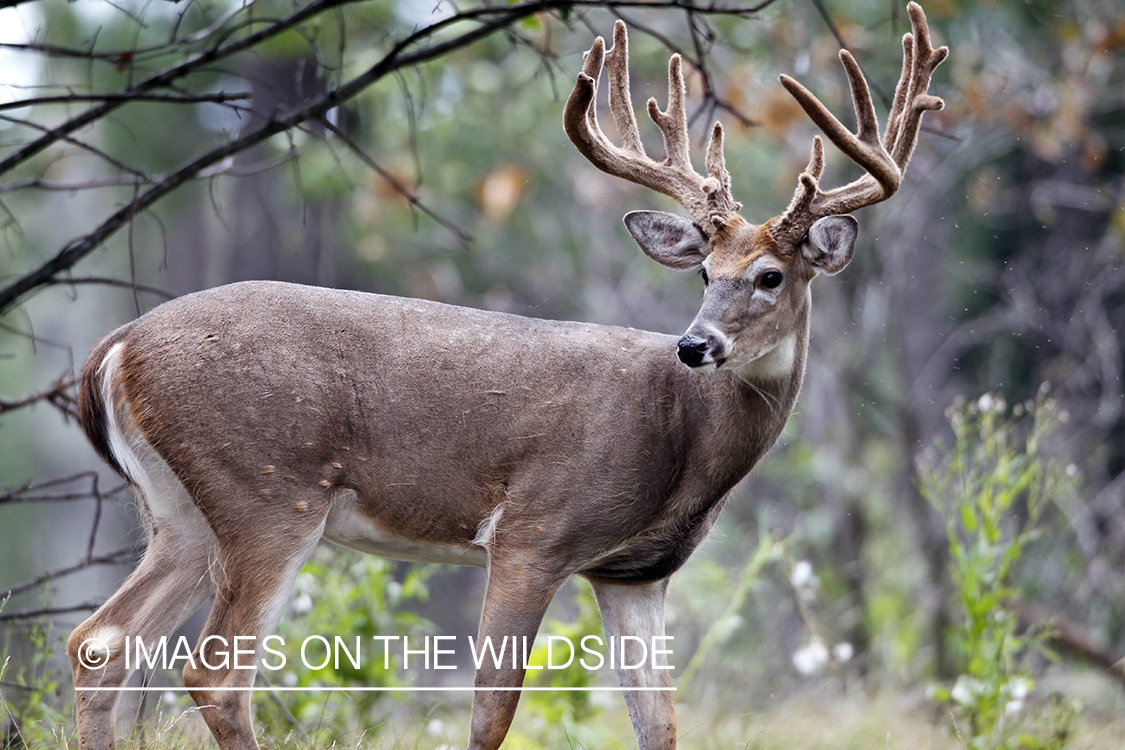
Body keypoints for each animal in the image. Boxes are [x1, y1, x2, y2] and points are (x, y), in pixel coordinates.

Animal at [68, 5, 949, 750]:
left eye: (769, 276)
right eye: (704, 271)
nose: (694, 346)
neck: (682, 436)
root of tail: (114, 348)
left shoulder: (632, 571)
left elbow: (659, 722)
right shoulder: (532, 528)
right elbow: (492, 708)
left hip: (180, 513)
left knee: (98, 642)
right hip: (267, 491)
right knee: (213, 672)